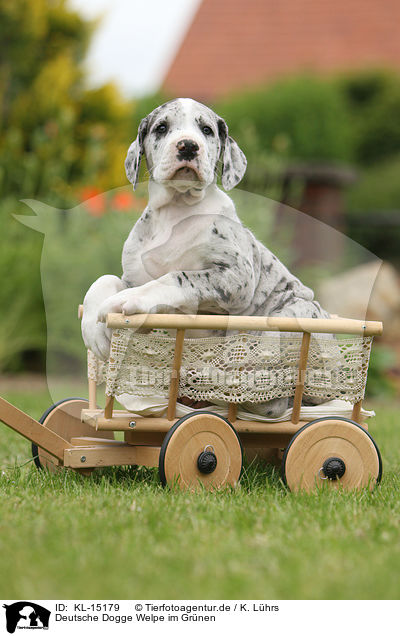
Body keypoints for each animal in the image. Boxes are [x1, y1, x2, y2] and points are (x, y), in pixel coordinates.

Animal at [81, 98, 328, 418]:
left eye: (206, 130)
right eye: (162, 128)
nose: (188, 146)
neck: (177, 210)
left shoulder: (236, 278)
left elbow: (176, 277)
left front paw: (130, 300)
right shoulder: (136, 280)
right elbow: (104, 279)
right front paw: (94, 330)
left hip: (286, 319)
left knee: (268, 394)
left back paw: (210, 378)